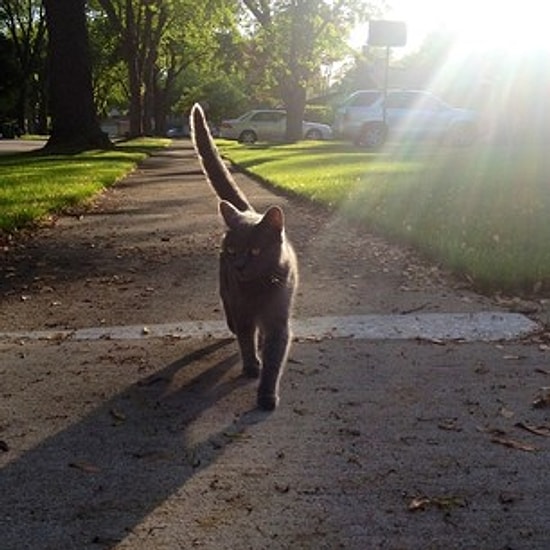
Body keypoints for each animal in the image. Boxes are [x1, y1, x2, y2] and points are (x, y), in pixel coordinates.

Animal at [191, 104, 302, 414]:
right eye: (232, 251)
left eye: (254, 251)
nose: (239, 265)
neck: (258, 288)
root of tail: (247, 211)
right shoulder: (242, 309)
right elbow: (244, 339)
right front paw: (252, 366)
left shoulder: (278, 320)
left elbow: (275, 357)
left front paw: (266, 395)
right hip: (224, 287)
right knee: (230, 314)